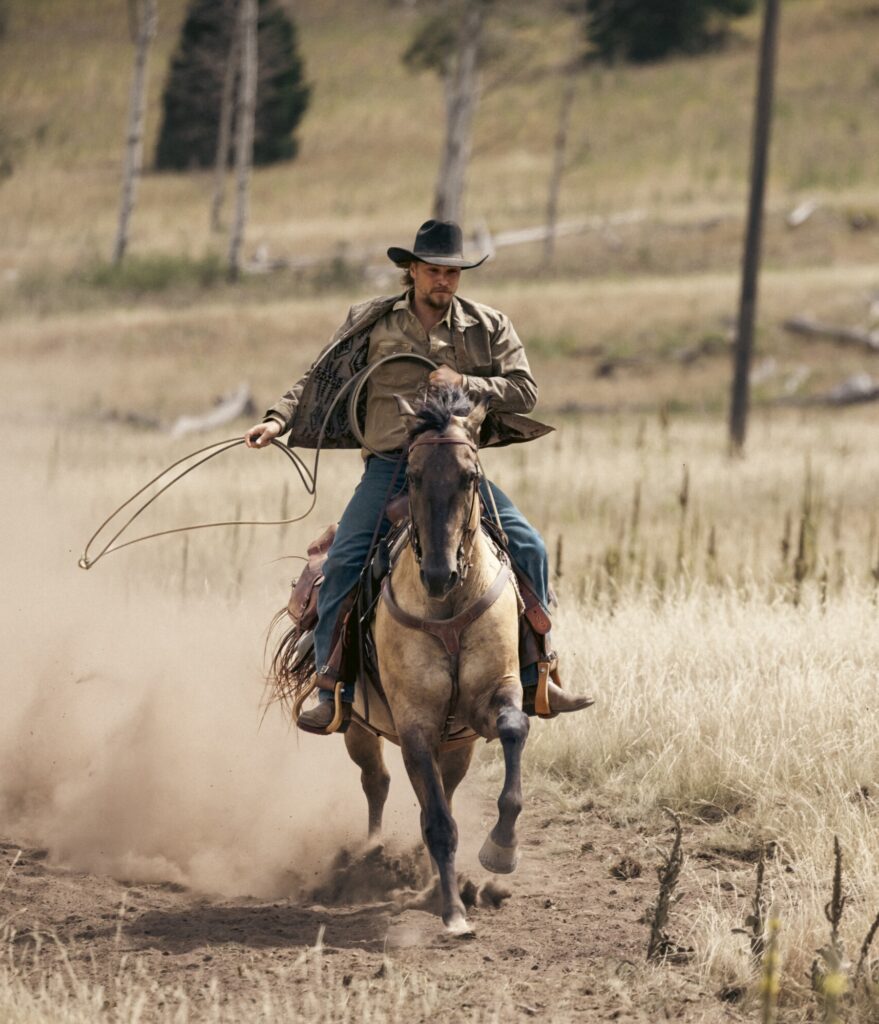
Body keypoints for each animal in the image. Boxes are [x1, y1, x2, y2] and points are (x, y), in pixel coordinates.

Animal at [340, 385, 529, 936]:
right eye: (415, 474)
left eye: (471, 476)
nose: (439, 575)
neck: (446, 607)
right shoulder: (415, 722)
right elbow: (439, 823)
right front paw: (453, 914)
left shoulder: (495, 692)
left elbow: (514, 728)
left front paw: (501, 850)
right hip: (359, 726)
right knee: (379, 782)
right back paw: (373, 854)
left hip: (457, 742)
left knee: (436, 785)